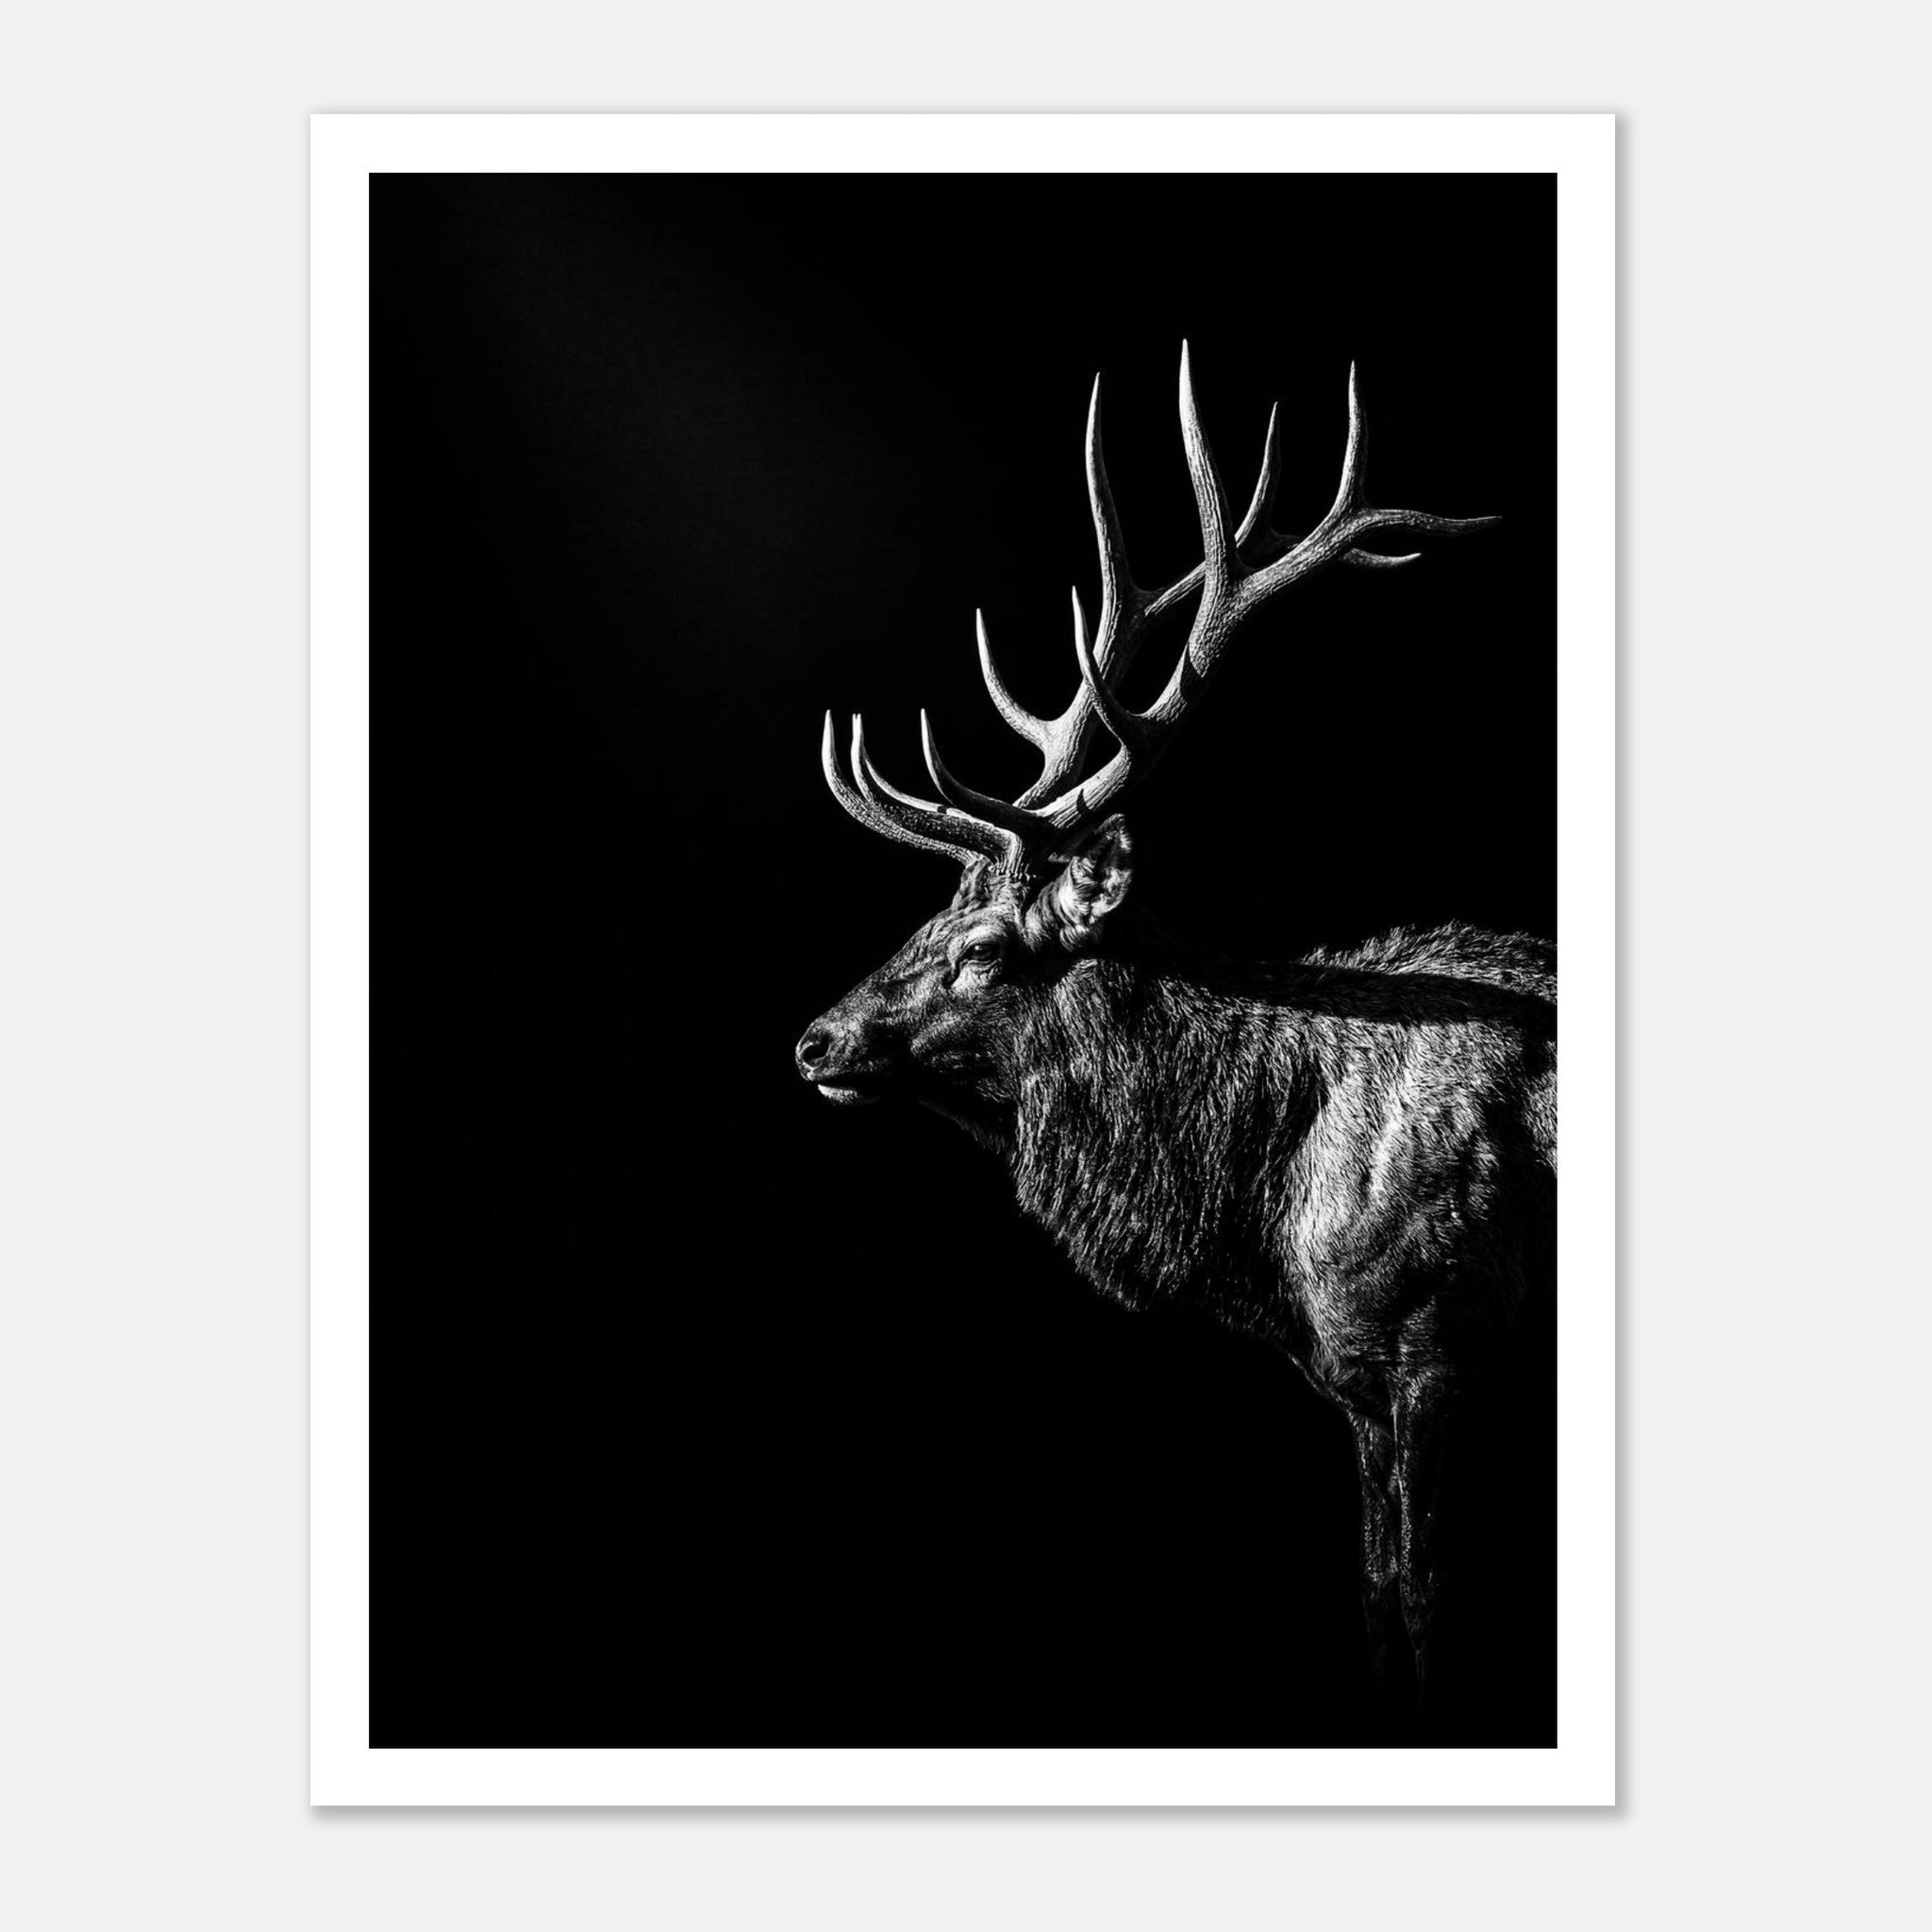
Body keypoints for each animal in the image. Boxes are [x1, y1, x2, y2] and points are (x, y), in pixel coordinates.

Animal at [793, 347, 1555, 1736]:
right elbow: (1374, 1603)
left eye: (983, 949)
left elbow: (1421, 1609)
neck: (1266, 1203)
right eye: (926, 916)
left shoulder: (1433, 1353)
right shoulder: (1359, 1389)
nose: (815, 1042)